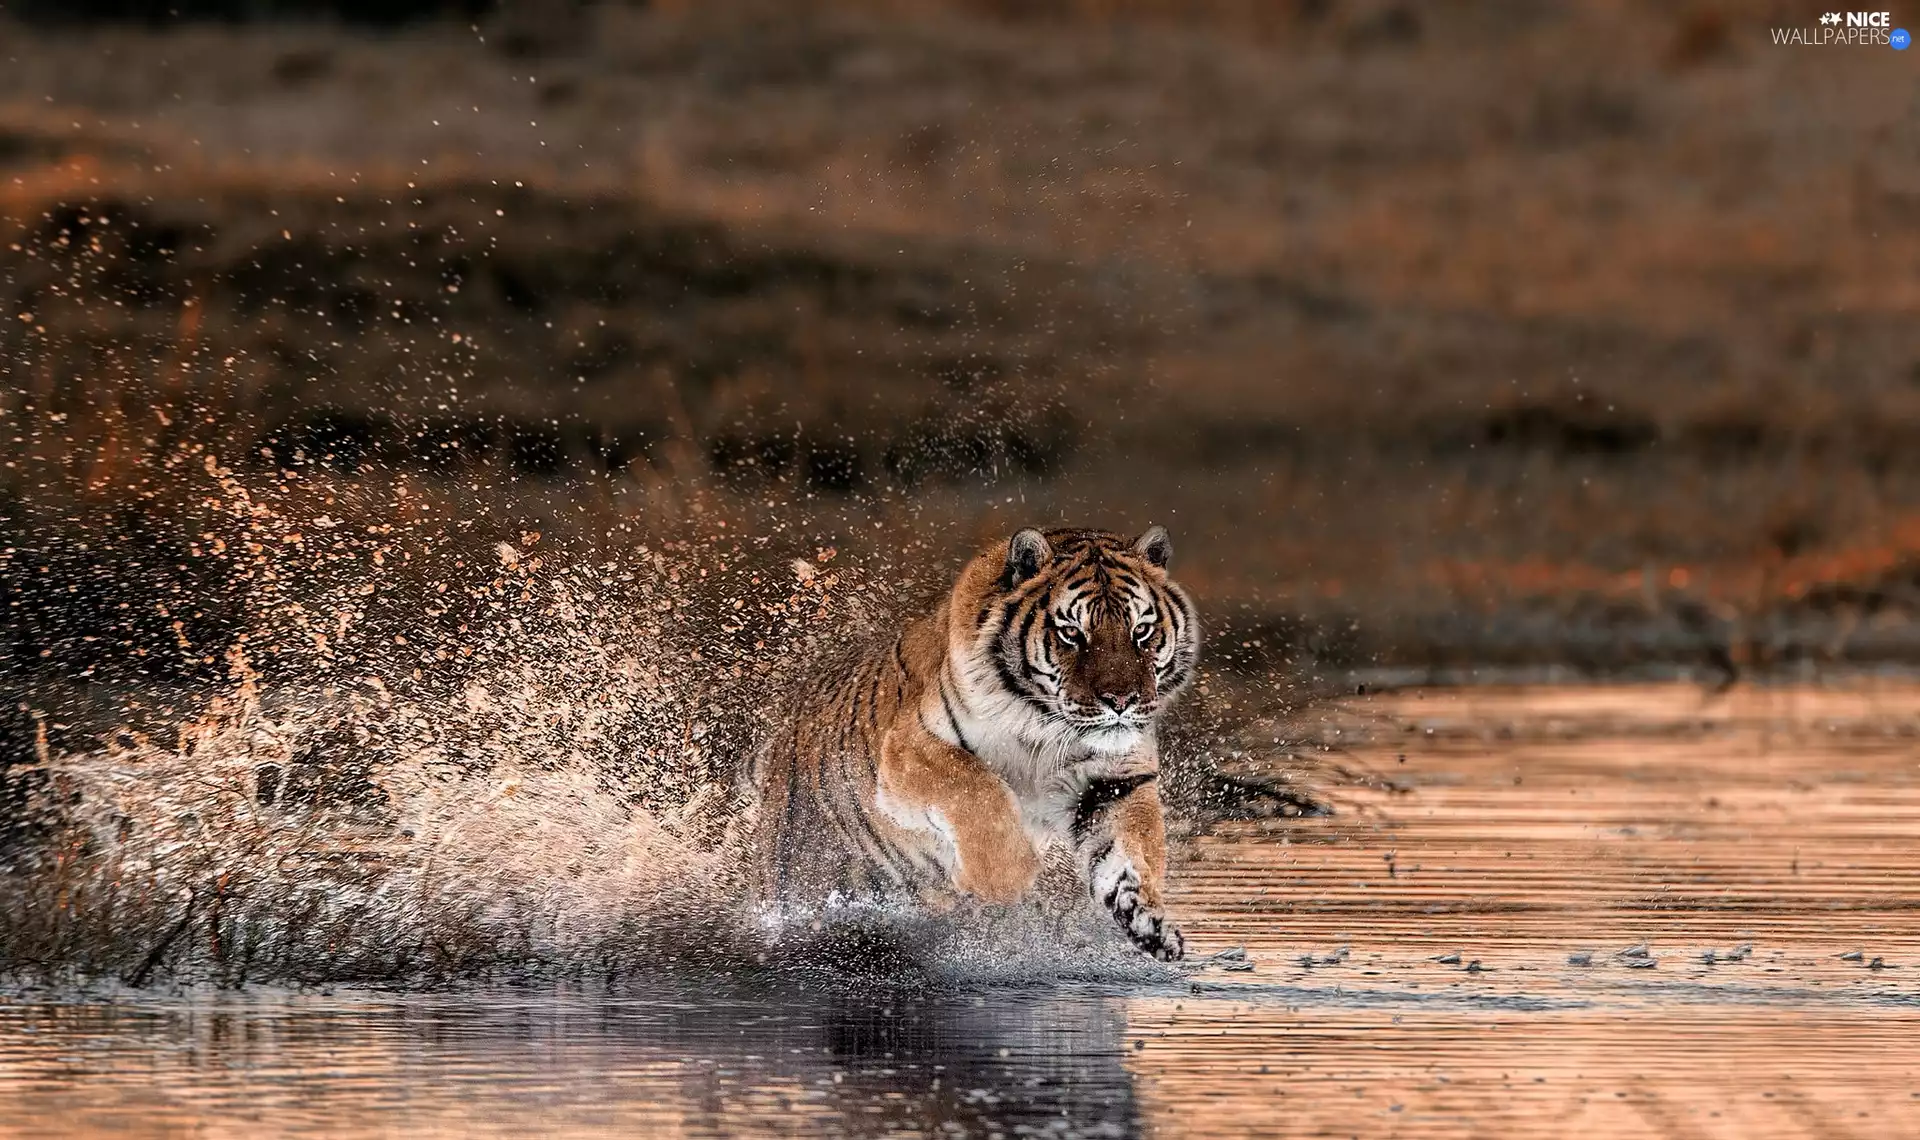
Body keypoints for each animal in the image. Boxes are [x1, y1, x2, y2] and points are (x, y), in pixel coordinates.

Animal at [747, 525, 1200, 960]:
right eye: (1072, 633)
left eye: (1141, 630)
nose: (1122, 701)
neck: (1045, 724)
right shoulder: (909, 748)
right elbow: (977, 790)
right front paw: (1005, 882)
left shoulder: (1114, 781)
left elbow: (1130, 850)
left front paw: (1150, 923)